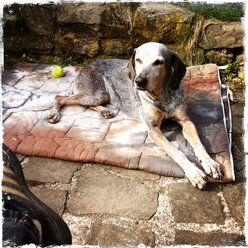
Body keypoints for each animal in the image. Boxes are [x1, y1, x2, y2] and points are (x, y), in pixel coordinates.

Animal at [47, 42, 224, 190]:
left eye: (158, 62)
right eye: (138, 60)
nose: (139, 81)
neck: (162, 96)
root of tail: (86, 66)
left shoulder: (186, 122)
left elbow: (199, 144)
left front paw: (210, 163)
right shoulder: (153, 129)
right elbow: (176, 151)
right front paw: (194, 173)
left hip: (100, 96)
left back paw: (105, 111)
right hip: (95, 94)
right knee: (60, 97)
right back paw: (54, 113)